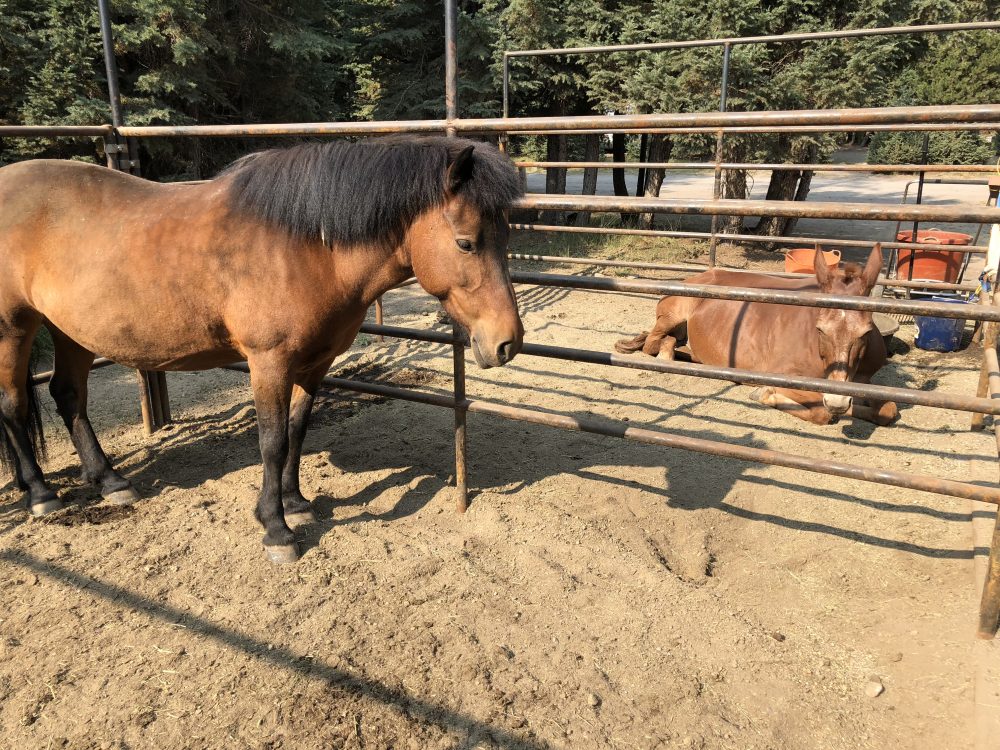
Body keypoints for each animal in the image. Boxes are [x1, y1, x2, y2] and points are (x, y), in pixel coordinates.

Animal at [0, 137, 528, 564]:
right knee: (13, 406)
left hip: (69, 330)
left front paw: (295, 503)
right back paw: (41, 494)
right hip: (14, 329)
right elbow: (271, 442)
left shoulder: (314, 363)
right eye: (465, 243)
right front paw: (277, 529)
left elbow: (297, 431)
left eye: (505, 236)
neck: (307, 246)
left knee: (68, 395)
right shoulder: (268, 362)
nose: (508, 342)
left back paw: (109, 482)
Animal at [616, 244, 900, 426]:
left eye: (865, 331)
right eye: (820, 328)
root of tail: (698, 276)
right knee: (654, 344)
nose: (838, 401)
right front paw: (765, 394)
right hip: (672, 315)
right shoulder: (784, 376)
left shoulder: (862, 382)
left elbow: (888, 410)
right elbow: (821, 411)